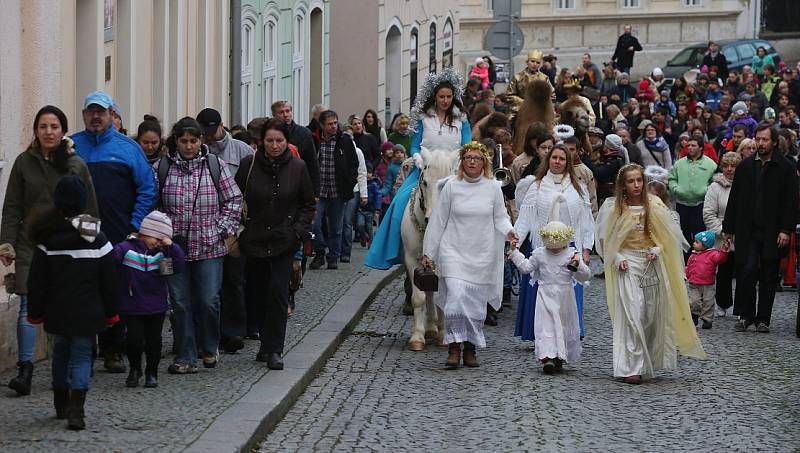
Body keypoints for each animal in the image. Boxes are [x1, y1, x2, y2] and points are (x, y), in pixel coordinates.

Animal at [398, 148, 456, 350]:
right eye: (424, 182)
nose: (432, 220)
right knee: (429, 293)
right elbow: (419, 297)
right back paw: (429, 329)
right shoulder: (412, 260)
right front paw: (417, 337)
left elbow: (441, 298)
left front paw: (444, 335)